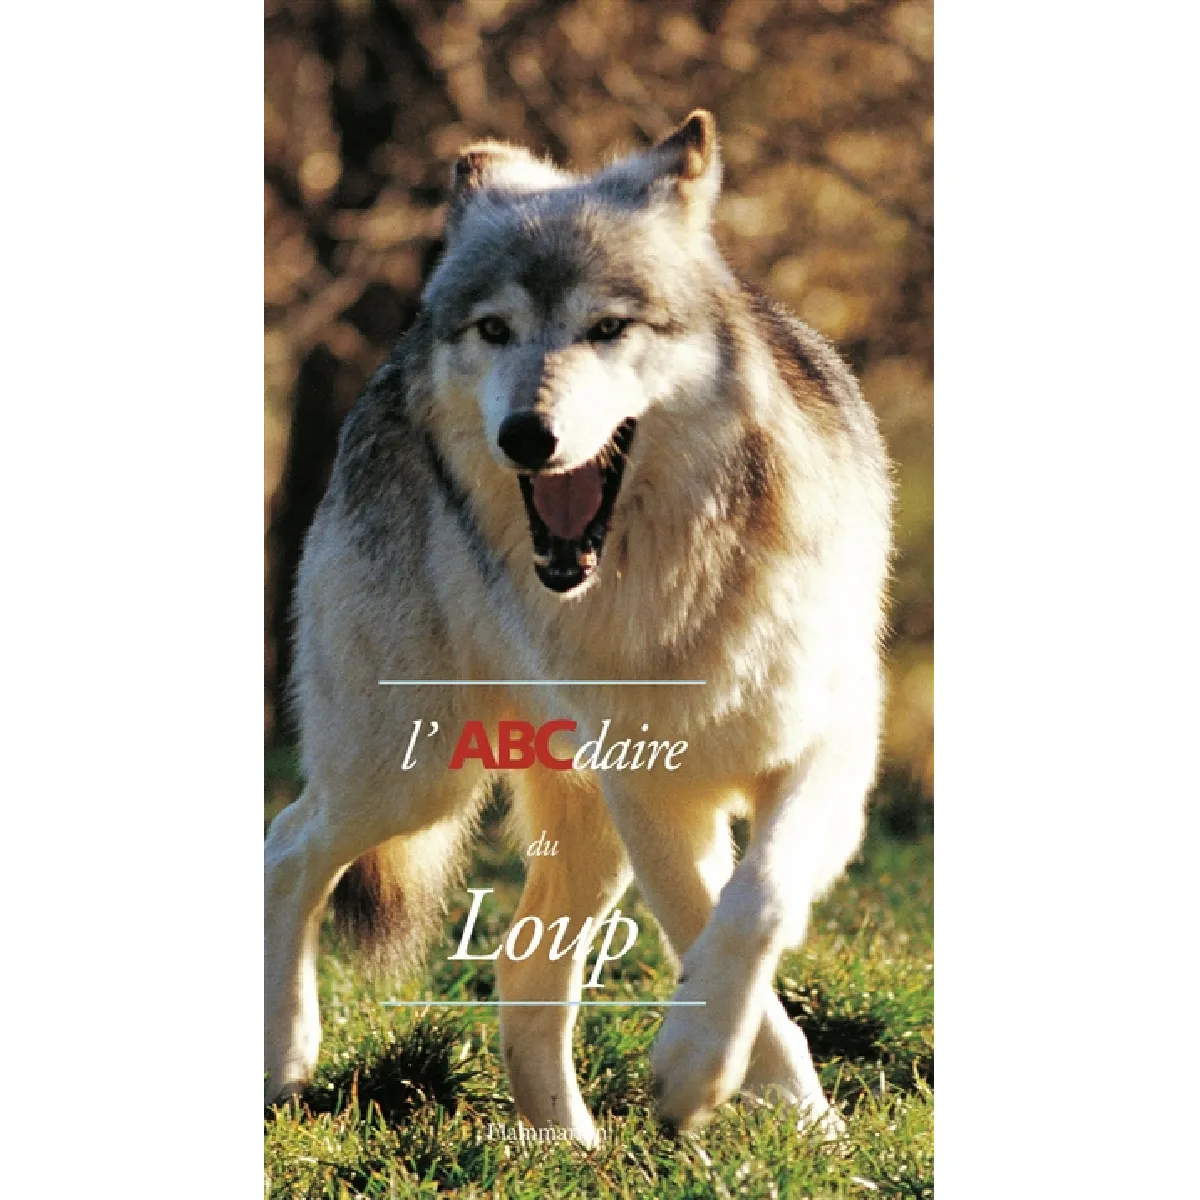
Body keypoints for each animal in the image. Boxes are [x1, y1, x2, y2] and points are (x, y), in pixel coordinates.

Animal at [265, 110, 892, 1143]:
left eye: (608, 328)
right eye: (495, 330)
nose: (528, 434)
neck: (676, 589)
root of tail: (387, 369)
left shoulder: (824, 752)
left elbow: (754, 905)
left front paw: (790, 1122)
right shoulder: (653, 794)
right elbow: (711, 929)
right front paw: (715, 1081)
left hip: (564, 823)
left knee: (520, 966)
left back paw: (569, 1148)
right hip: (414, 777)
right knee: (289, 840)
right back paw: (287, 1053)